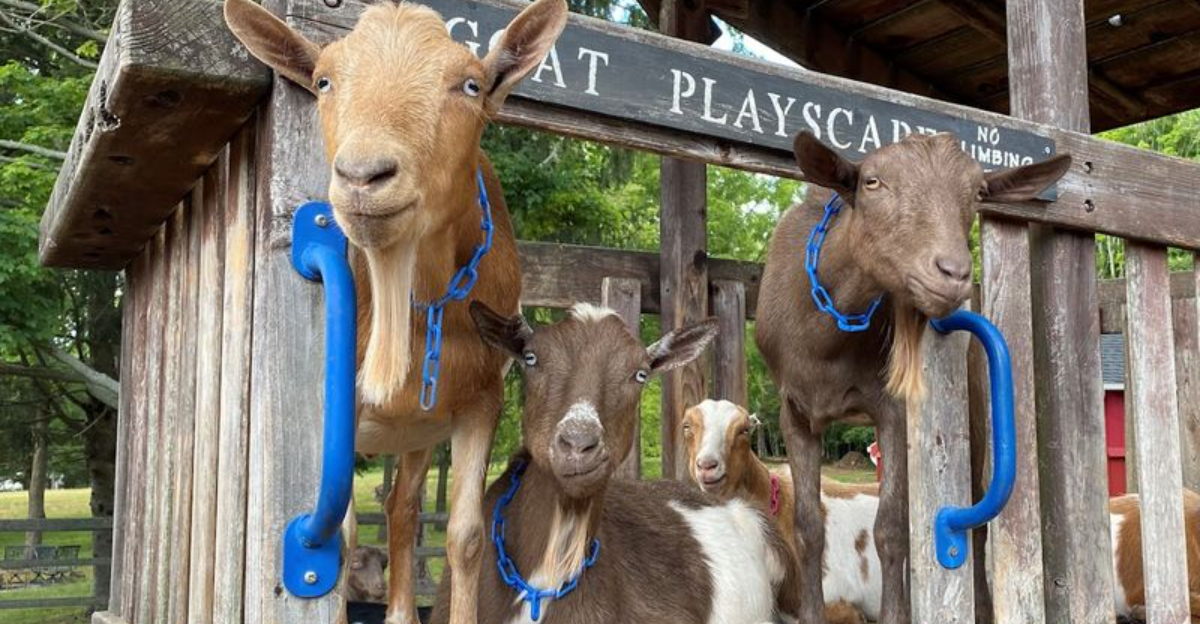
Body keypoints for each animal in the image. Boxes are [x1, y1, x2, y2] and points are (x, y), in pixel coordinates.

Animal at [223, 2, 568, 622]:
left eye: (471, 84)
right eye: (323, 81)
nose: (364, 176)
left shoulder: (481, 400)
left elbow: (464, 534)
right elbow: (339, 539)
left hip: (417, 429)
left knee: (402, 508)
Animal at [755, 130, 1071, 624]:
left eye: (978, 191)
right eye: (872, 181)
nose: (953, 273)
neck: (825, 340)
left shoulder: (892, 409)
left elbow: (891, 529)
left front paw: (895, 613)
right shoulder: (795, 411)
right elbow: (807, 527)